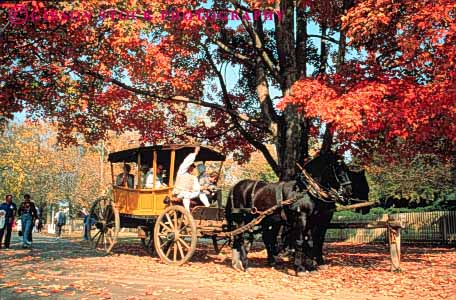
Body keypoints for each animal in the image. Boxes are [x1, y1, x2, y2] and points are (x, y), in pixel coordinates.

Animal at [226, 151, 354, 274]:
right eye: (338, 168)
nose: (348, 191)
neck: (306, 190)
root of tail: (235, 187)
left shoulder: (312, 220)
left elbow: (310, 241)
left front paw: (311, 267)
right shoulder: (301, 218)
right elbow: (300, 241)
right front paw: (300, 268)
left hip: (262, 220)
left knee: (263, 237)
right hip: (241, 219)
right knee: (241, 238)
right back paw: (245, 264)